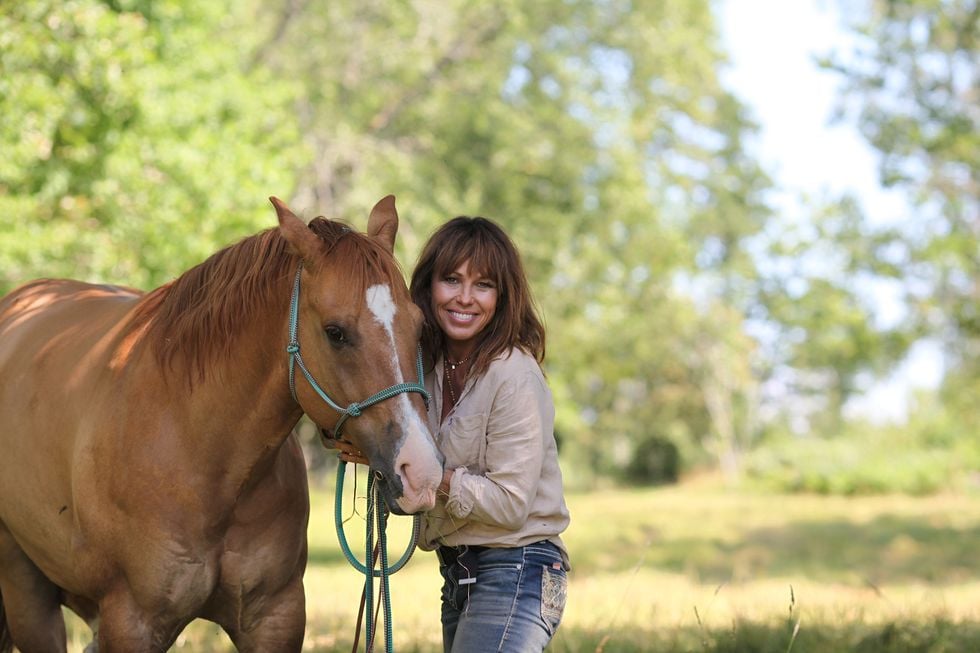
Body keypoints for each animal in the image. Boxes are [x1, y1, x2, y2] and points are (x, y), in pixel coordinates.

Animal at [0, 196, 440, 648]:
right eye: (335, 332)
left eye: (421, 326)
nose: (421, 471)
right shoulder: (130, 623)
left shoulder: (275, 618)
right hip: (26, 594)